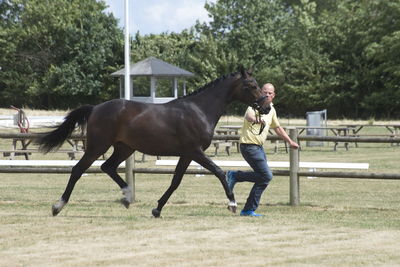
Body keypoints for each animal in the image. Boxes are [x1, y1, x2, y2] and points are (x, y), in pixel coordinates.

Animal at [37, 68, 268, 219]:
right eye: (251, 85)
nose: (266, 108)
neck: (199, 110)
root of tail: (95, 108)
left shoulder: (186, 154)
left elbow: (175, 181)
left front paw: (157, 209)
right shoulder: (195, 151)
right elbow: (219, 172)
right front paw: (232, 203)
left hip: (124, 147)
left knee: (107, 167)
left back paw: (127, 197)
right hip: (98, 146)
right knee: (78, 169)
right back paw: (57, 206)